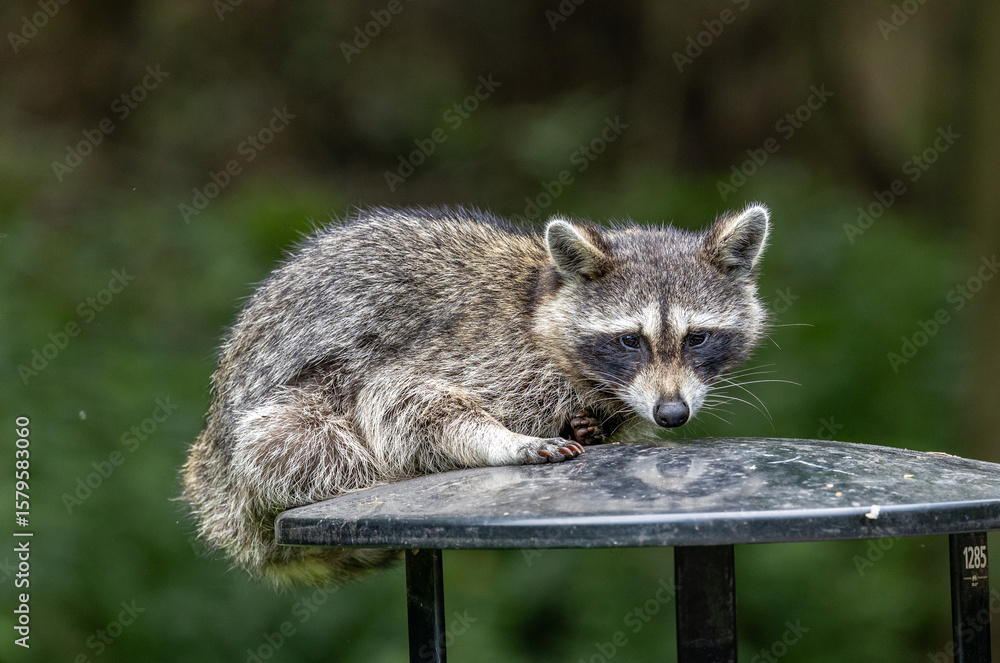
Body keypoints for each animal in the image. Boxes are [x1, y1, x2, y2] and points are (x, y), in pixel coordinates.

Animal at [181, 204, 770, 586]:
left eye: (697, 338)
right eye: (630, 339)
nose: (672, 413)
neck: (540, 305)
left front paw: (591, 426)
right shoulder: (472, 348)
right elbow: (400, 401)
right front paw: (500, 439)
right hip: (257, 439)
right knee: (289, 437)